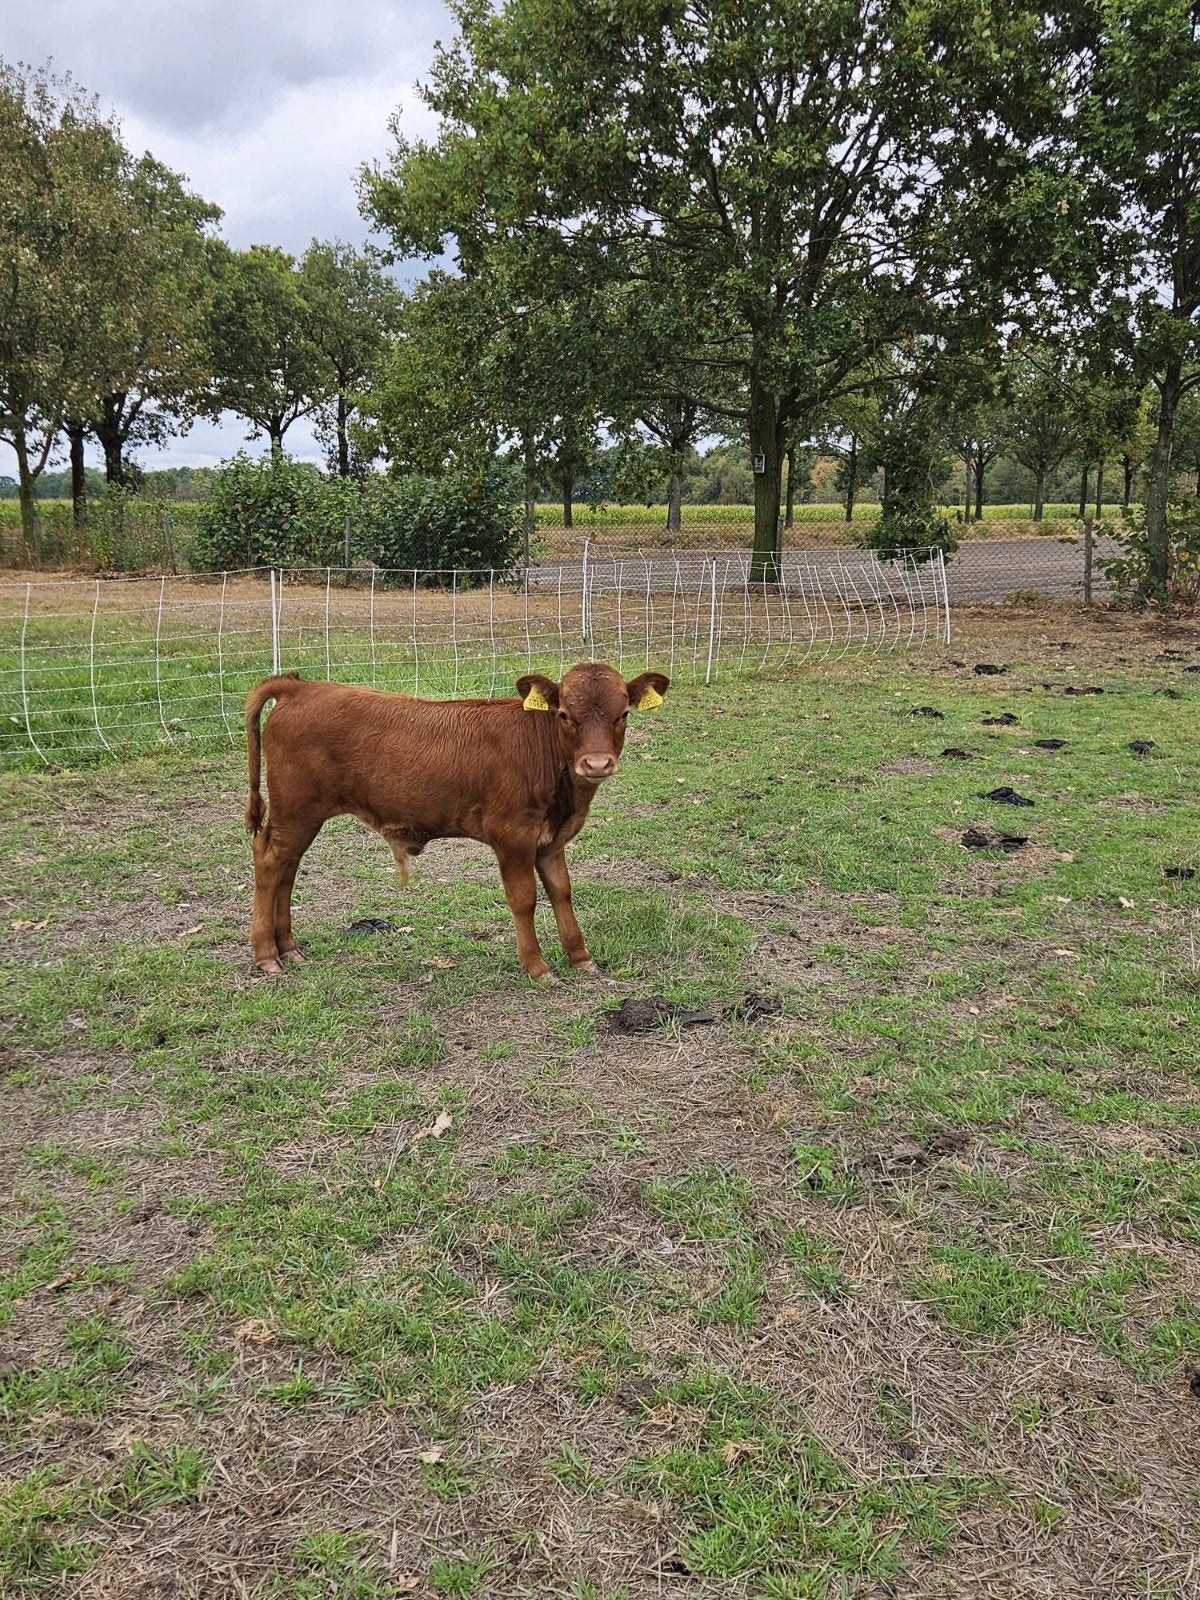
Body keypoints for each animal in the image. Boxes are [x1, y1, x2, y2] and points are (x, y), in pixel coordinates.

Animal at [243, 663, 670, 981]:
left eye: (624, 714)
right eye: (564, 714)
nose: (596, 764)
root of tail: (301, 687)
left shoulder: (550, 840)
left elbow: (561, 891)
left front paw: (580, 956)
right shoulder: (512, 835)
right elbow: (524, 899)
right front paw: (537, 966)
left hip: (301, 816)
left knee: (288, 867)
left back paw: (289, 948)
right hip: (296, 809)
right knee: (270, 861)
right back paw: (266, 955)